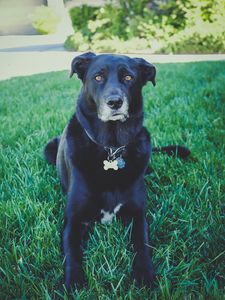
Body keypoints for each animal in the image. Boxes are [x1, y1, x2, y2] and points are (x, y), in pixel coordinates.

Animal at [44, 52, 190, 290]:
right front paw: (74, 281)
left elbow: (142, 245)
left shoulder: (138, 215)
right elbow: (72, 253)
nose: (115, 102)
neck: (111, 147)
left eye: (129, 78)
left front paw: (145, 275)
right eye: (98, 77)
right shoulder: (74, 220)